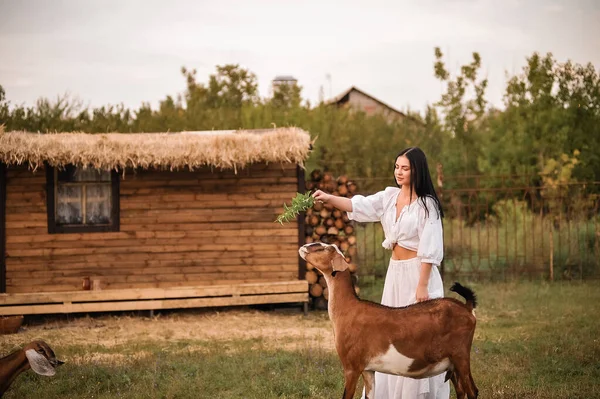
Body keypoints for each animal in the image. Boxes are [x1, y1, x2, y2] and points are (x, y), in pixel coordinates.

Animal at [300, 242, 478, 399]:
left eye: (325, 248)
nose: (303, 247)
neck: (348, 308)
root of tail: (467, 307)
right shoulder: (368, 370)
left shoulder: (351, 366)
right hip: (452, 363)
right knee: (461, 390)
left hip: (460, 355)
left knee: (472, 390)